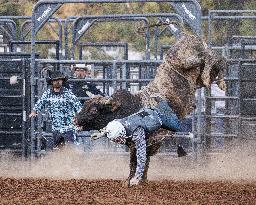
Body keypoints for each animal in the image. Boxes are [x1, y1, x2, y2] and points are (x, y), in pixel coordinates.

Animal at [75, 32, 227, 186]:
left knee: (209, 56)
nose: (75, 120)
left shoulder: (142, 141)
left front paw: (132, 181)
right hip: (198, 71)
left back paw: (214, 80)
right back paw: (219, 81)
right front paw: (140, 180)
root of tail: (190, 37)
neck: (130, 107)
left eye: (94, 110)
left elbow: (136, 161)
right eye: (84, 105)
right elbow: (142, 160)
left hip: (186, 61)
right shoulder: (142, 143)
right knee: (216, 59)